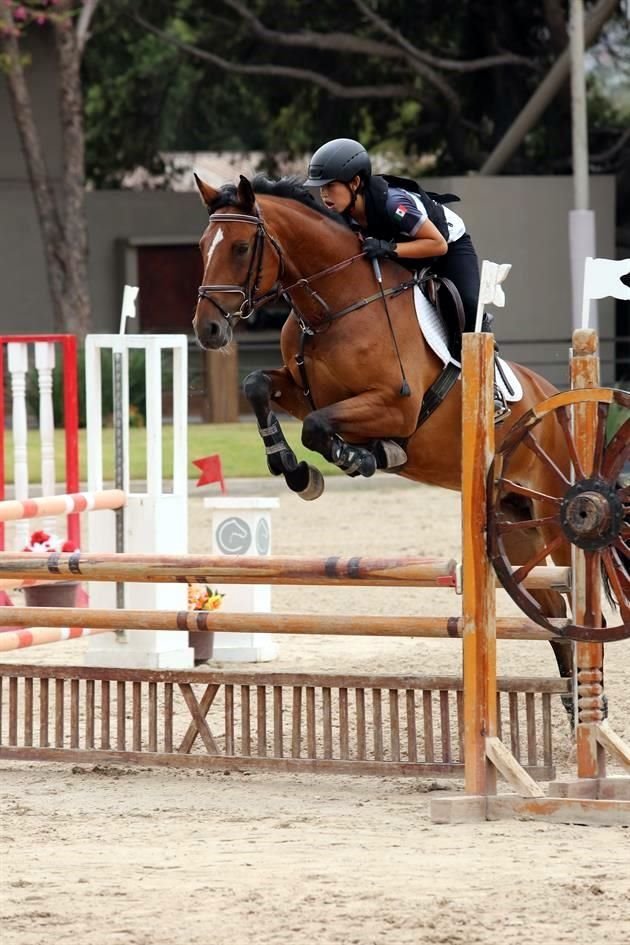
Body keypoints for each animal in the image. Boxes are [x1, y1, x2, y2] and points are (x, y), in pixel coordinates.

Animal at [195, 175, 580, 692]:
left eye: (239, 247)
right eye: (202, 247)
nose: (208, 329)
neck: (334, 306)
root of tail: (554, 400)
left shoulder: (396, 406)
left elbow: (320, 428)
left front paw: (359, 458)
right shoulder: (302, 391)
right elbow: (257, 385)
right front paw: (292, 467)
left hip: (551, 510)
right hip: (513, 522)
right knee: (551, 608)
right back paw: (573, 695)